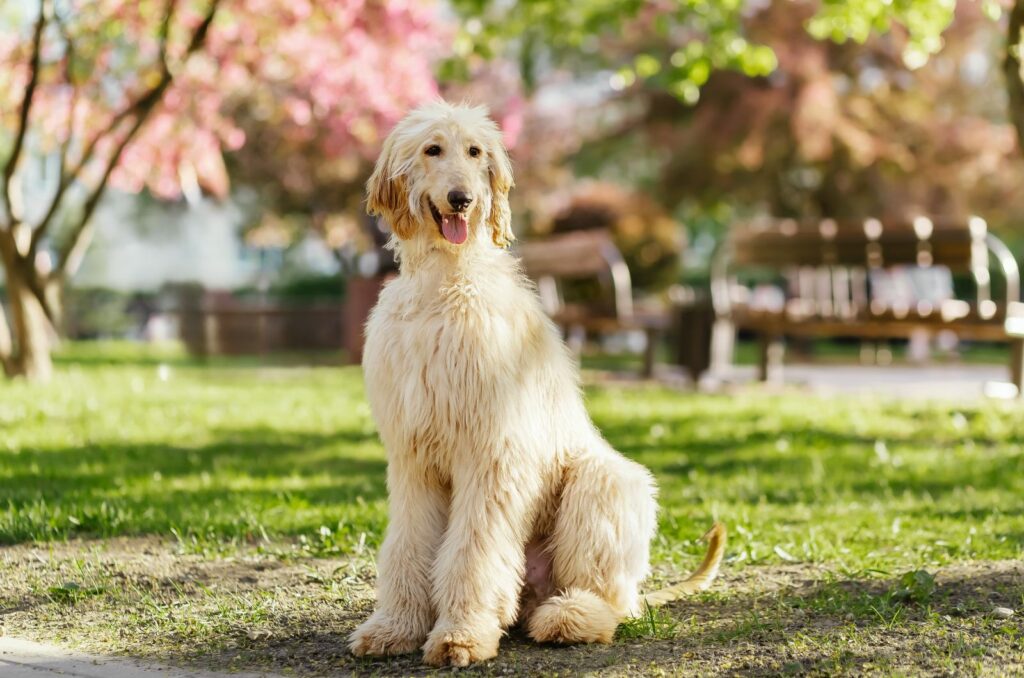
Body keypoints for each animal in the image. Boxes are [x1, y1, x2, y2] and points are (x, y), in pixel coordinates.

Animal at [352, 102, 729, 667]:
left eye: (475, 152)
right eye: (432, 149)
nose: (462, 199)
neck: (448, 282)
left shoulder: (492, 451)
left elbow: (475, 549)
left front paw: (461, 633)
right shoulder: (414, 455)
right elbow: (409, 544)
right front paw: (394, 627)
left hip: (605, 482)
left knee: (609, 598)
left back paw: (569, 618)